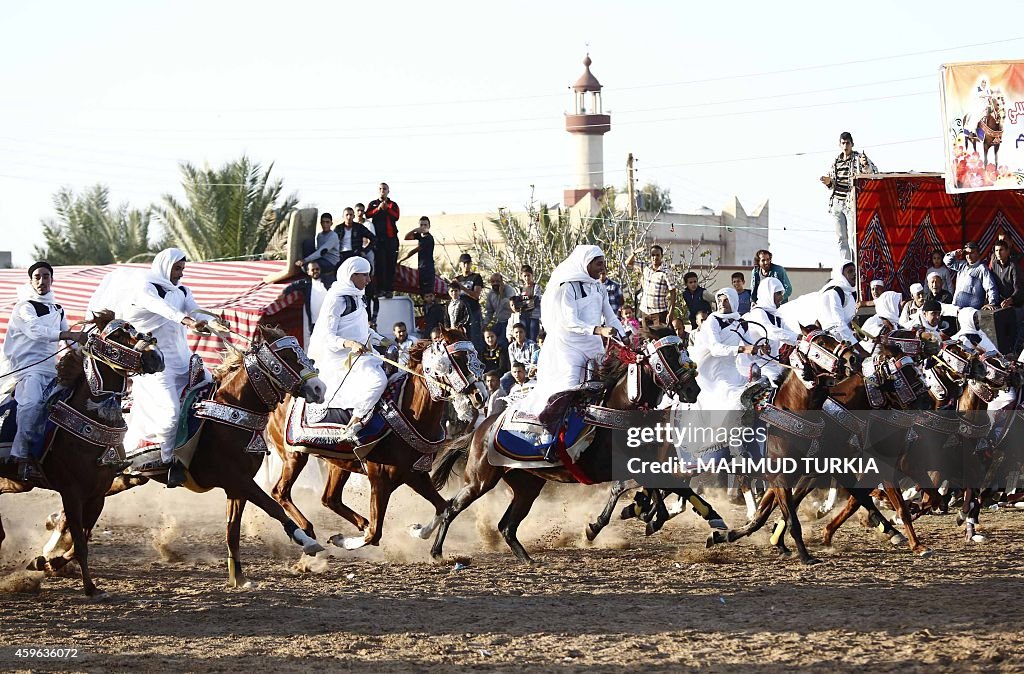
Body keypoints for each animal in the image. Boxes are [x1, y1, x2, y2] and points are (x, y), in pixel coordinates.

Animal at [0, 309, 162, 594]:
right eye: (118, 335)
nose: (155, 356)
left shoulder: (97, 495)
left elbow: (81, 542)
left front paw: (45, 562)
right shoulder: (72, 492)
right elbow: (78, 540)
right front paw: (89, 587)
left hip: (14, 482)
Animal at [264, 325, 487, 553]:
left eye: (475, 354)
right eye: (458, 357)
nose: (481, 396)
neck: (410, 411)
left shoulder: (414, 474)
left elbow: (443, 507)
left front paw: (415, 530)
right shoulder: (380, 478)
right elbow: (374, 534)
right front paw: (344, 539)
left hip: (338, 463)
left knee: (329, 499)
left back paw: (356, 523)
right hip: (294, 456)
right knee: (280, 492)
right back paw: (308, 531)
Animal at [423, 331, 696, 561]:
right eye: (668, 356)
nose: (694, 389)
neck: (614, 414)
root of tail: (481, 429)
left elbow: (657, 485)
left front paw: (645, 516)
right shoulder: (610, 467)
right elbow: (638, 486)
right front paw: (608, 523)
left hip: (527, 485)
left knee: (507, 526)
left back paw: (527, 559)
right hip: (480, 480)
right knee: (452, 508)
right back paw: (436, 552)